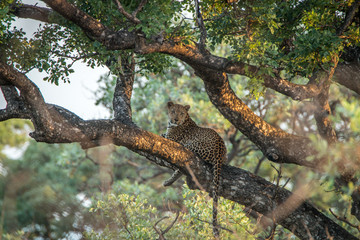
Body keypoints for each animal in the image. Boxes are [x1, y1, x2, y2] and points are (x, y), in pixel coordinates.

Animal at [164, 101, 226, 238]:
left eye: (181, 113)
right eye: (173, 111)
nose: (176, 119)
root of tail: (219, 151)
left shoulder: (171, 140)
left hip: (189, 146)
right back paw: (168, 182)